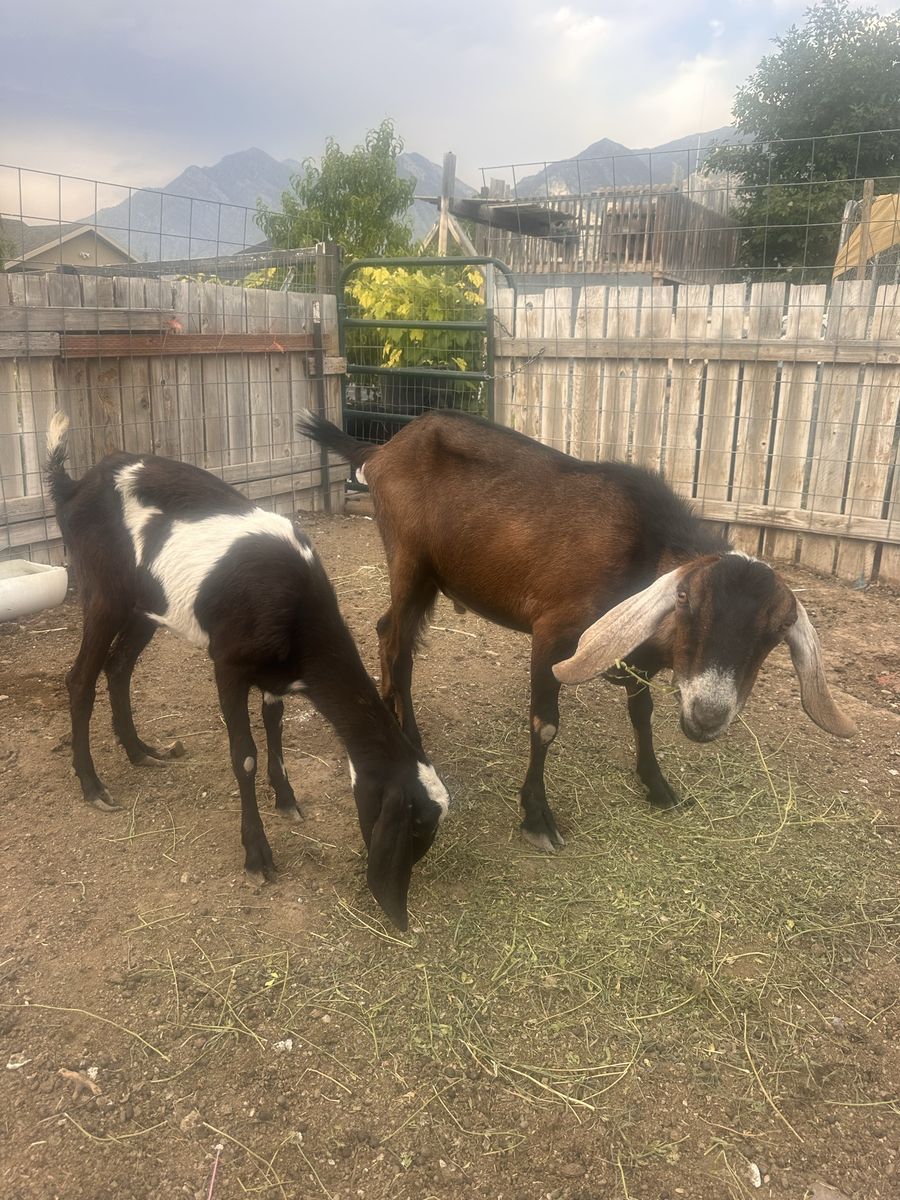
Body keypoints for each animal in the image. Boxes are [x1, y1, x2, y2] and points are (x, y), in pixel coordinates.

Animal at [45, 412, 448, 929]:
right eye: (415, 824)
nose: (403, 895)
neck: (298, 608)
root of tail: (74, 487)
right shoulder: (229, 666)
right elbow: (246, 756)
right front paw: (258, 854)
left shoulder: (276, 672)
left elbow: (274, 726)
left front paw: (287, 799)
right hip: (104, 594)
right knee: (80, 680)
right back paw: (93, 785)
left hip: (145, 605)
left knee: (118, 669)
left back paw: (140, 751)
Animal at [297, 409, 855, 851]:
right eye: (686, 603)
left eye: (774, 634)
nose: (707, 716)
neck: (643, 546)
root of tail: (382, 449)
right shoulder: (552, 631)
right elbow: (545, 725)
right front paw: (537, 818)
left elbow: (642, 713)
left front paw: (658, 787)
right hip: (409, 560)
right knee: (396, 641)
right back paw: (409, 738)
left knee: (391, 633)